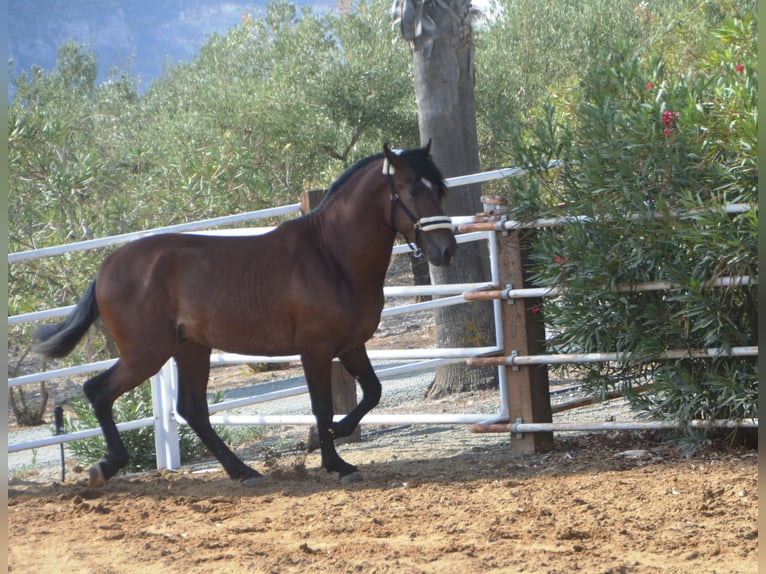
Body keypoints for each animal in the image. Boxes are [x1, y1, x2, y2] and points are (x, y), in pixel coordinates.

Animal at [34, 142, 456, 488]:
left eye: (440, 189)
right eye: (413, 189)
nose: (446, 250)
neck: (330, 256)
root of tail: (106, 269)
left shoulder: (351, 345)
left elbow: (372, 392)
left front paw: (330, 437)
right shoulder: (316, 349)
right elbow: (322, 406)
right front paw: (334, 459)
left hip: (190, 349)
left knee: (192, 409)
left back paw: (242, 470)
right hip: (147, 353)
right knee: (98, 391)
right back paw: (106, 466)